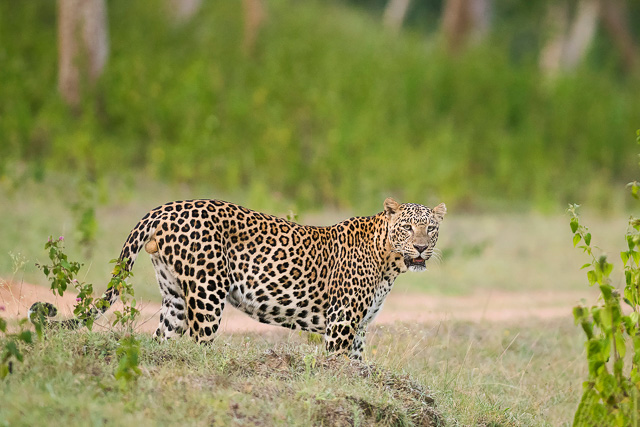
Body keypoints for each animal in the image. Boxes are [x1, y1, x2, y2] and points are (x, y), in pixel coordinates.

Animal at [31, 199, 444, 360]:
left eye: (432, 228)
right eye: (409, 228)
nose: (422, 248)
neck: (389, 262)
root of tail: (163, 208)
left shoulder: (358, 329)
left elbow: (358, 367)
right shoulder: (341, 324)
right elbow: (339, 365)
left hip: (174, 299)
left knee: (163, 339)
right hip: (206, 295)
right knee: (200, 343)